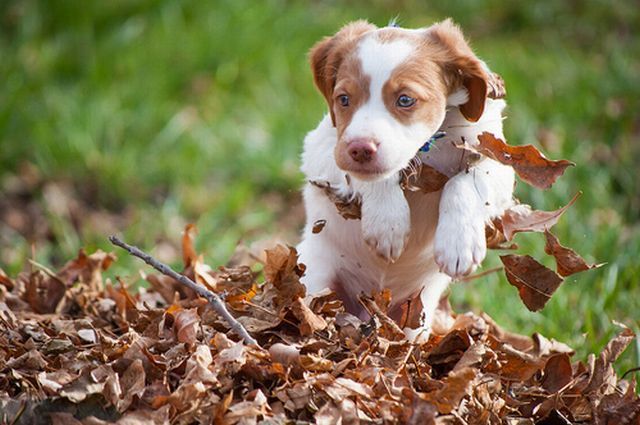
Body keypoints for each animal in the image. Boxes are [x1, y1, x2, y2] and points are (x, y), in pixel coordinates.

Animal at [296, 19, 516, 340]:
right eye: (344, 99)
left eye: (405, 100)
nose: (360, 148)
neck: (424, 150)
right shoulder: (323, 148)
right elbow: (372, 177)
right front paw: (388, 224)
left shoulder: (499, 162)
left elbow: (464, 180)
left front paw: (458, 243)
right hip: (314, 276)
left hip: (417, 316)